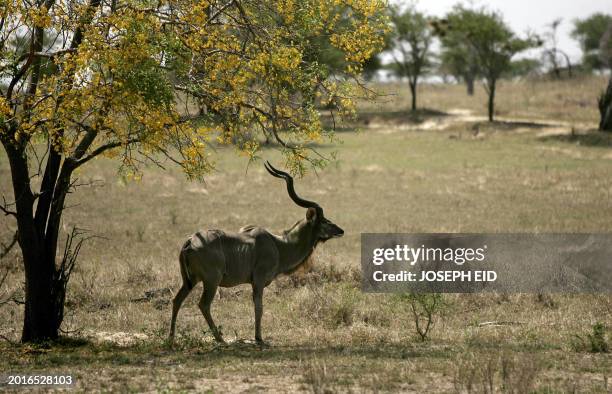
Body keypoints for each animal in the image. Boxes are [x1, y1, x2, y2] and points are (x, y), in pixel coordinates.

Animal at [169, 162, 344, 344]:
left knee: (176, 300)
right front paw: (259, 338)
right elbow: (259, 307)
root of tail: (190, 241)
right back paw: (220, 339)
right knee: (203, 304)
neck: (279, 245)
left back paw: (171, 338)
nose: (341, 230)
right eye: (324, 221)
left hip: (190, 281)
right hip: (211, 281)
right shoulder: (258, 281)